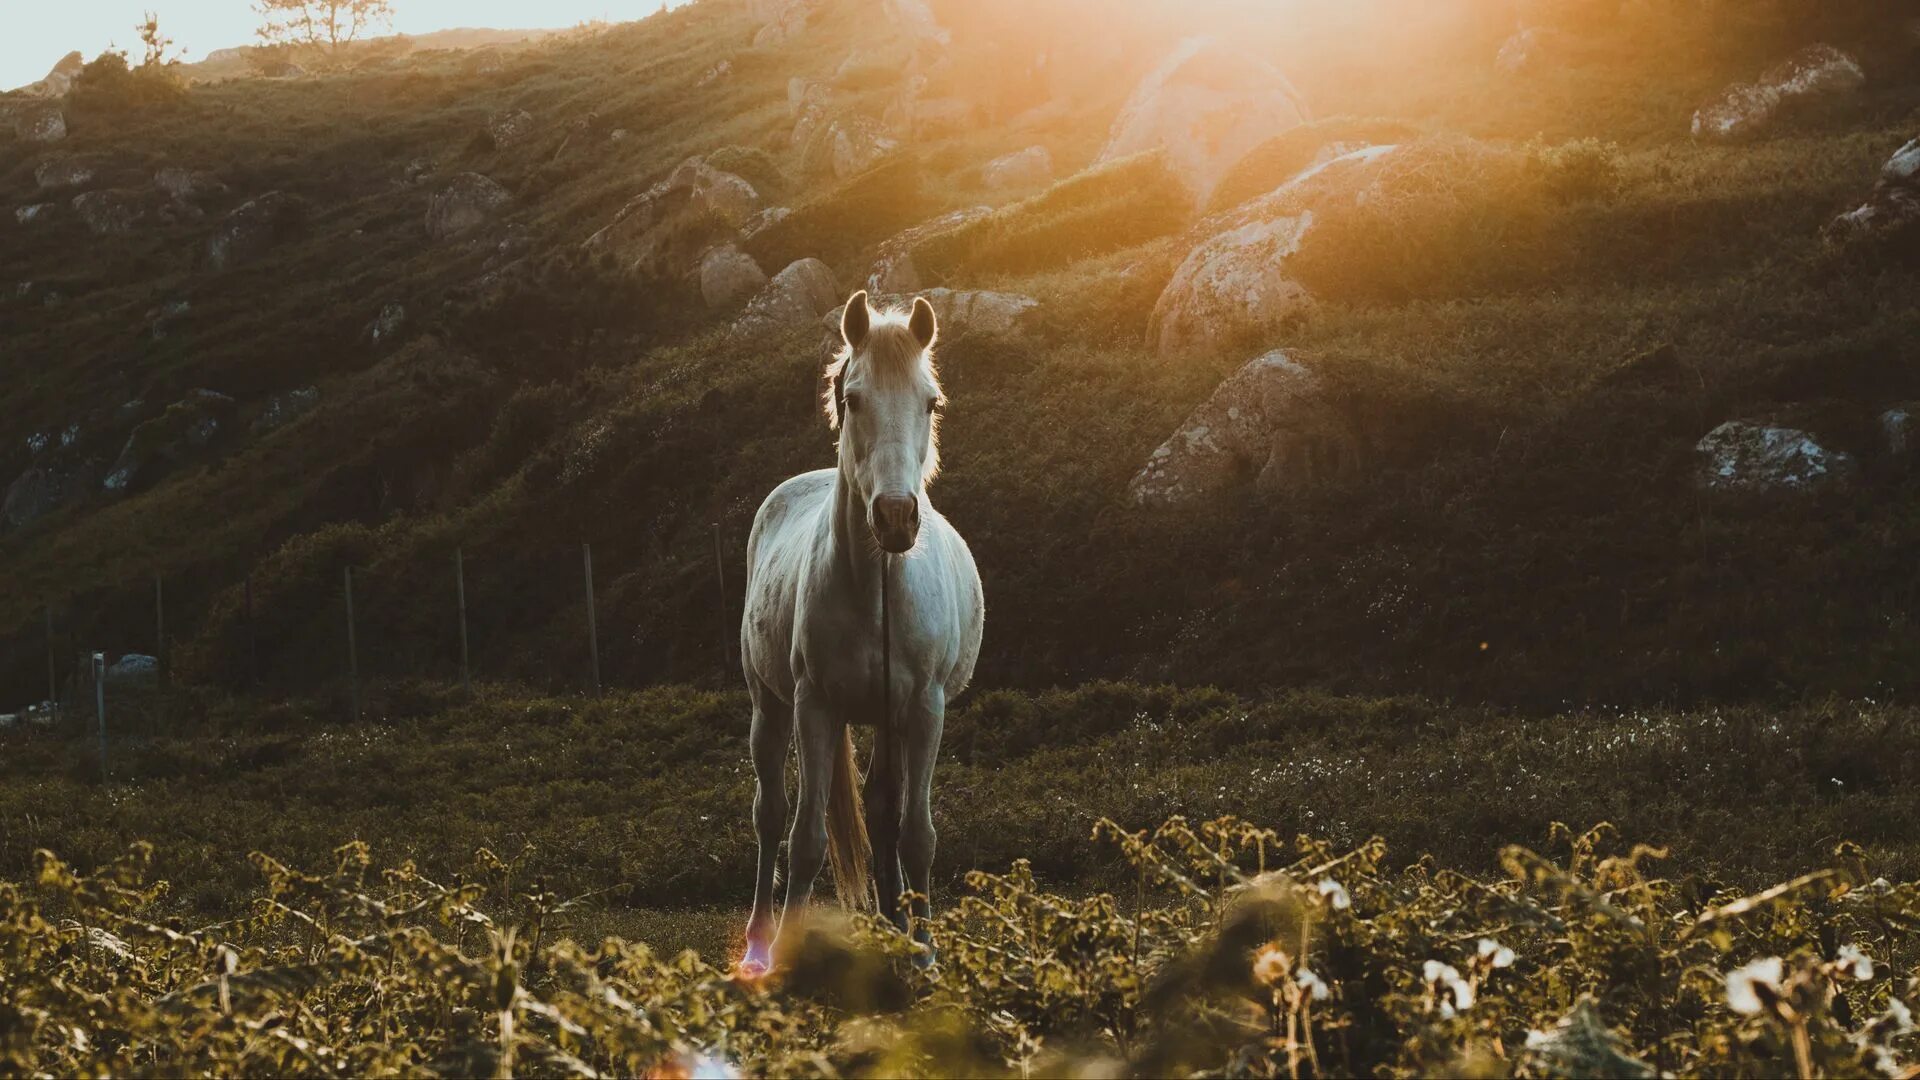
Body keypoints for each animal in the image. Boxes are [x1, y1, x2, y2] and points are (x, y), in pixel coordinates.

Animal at [737, 290, 990, 972]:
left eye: (930, 401)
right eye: (853, 399)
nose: (897, 517)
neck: (877, 589)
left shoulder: (924, 709)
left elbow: (915, 834)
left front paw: (925, 954)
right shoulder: (815, 707)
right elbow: (805, 838)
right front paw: (786, 958)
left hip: (888, 719)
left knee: (881, 814)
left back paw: (893, 927)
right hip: (769, 706)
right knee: (771, 815)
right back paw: (758, 943)